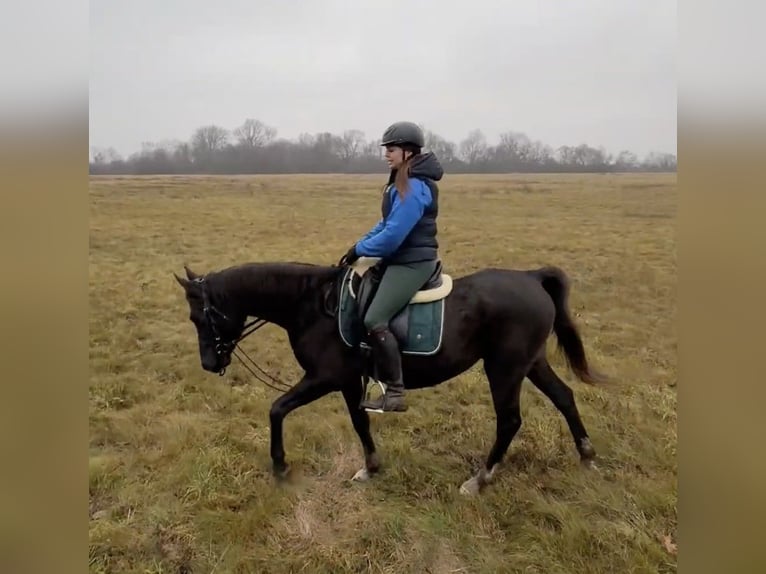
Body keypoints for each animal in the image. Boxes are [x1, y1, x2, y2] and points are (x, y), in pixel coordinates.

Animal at [174, 257, 605, 495]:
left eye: (199, 317)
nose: (209, 364)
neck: (311, 304)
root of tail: (531, 277)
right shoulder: (349, 381)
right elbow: (360, 422)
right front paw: (370, 468)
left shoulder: (324, 377)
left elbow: (277, 409)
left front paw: (280, 467)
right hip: (531, 363)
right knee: (564, 397)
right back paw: (586, 455)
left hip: (505, 368)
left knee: (510, 420)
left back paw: (481, 479)